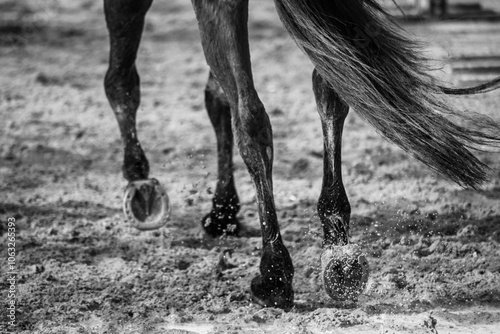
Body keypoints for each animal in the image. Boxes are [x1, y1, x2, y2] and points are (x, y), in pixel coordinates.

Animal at [102, 0, 500, 310]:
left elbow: (121, 83)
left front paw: (140, 184)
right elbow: (218, 99)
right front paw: (223, 210)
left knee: (251, 120)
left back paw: (274, 273)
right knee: (329, 87)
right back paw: (339, 251)